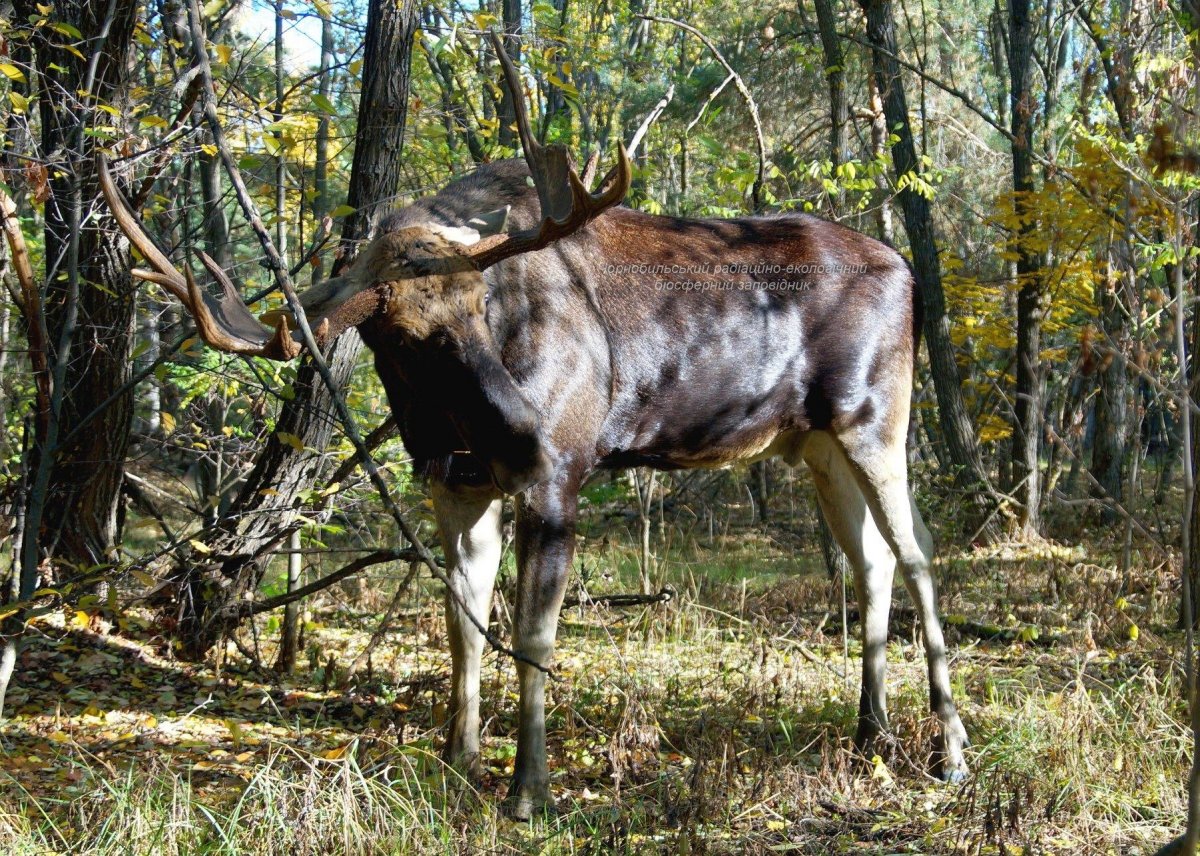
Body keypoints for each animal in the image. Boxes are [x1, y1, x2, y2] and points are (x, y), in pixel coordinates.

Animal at [100, 35, 969, 819]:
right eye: (405, 339)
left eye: (479, 303)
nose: (526, 429)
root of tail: (909, 272)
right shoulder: (451, 482)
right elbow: (463, 624)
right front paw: (457, 762)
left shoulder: (555, 480)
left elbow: (535, 635)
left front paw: (529, 790)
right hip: (814, 443)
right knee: (872, 562)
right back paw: (871, 734)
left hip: (876, 418)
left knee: (919, 553)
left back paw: (951, 750)